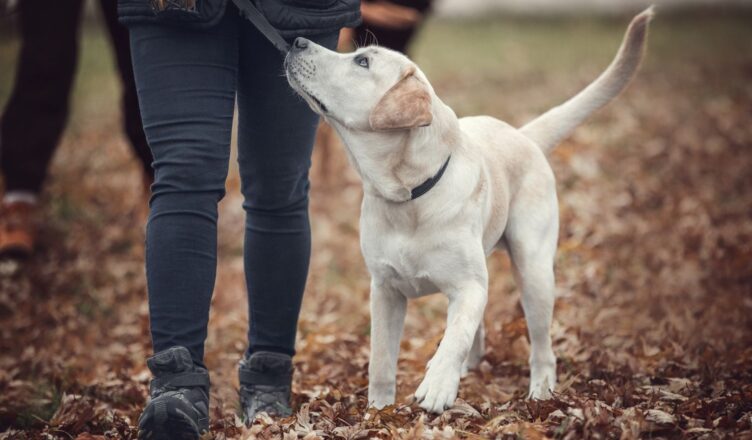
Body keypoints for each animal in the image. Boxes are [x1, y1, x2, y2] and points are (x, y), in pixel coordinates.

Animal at [286, 7, 652, 412]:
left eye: (362, 61)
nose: (296, 41)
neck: (409, 196)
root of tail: (523, 135)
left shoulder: (468, 285)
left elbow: (455, 336)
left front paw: (437, 385)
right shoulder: (385, 290)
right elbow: (381, 361)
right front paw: (378, 411)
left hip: (534, 270)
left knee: (541, 346)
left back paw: (540, 391)